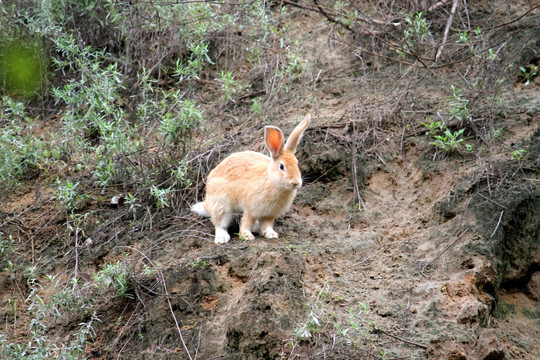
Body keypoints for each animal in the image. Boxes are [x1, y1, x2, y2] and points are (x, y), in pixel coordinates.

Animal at [192, 115, 310, 245]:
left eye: (297, 164)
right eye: (281, 166)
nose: (295, 182)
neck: (272, 181)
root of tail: (207, 202)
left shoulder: (270, 214)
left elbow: (267, 224)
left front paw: (271, 234)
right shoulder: (251, 208)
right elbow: (246, 222)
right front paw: (246, 236)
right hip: (222, 204)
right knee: (220, 224)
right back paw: (222, 238)